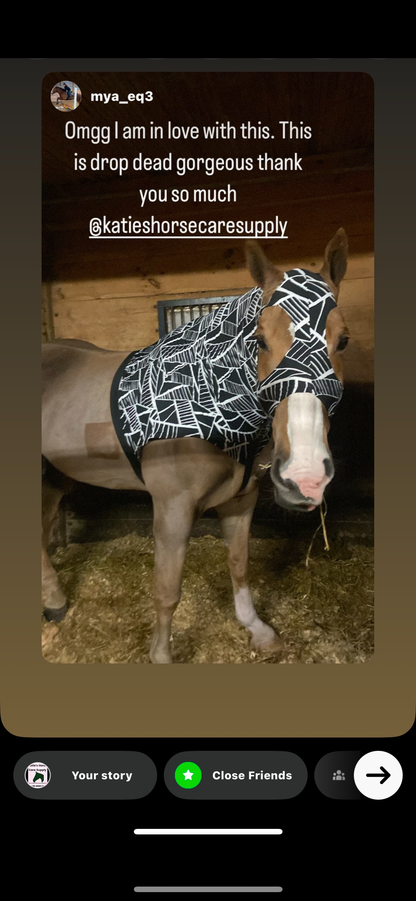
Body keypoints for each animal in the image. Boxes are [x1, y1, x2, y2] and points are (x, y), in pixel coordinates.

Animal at [42, 229, 350, 663]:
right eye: (259, 341)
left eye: (343, 340)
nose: (304, 477)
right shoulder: (173, 511)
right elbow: (168, 590)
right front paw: (161, 657)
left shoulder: (241, 500)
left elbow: (239, 565)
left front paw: (257, 629)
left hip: (53, 479)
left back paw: (54, 602)